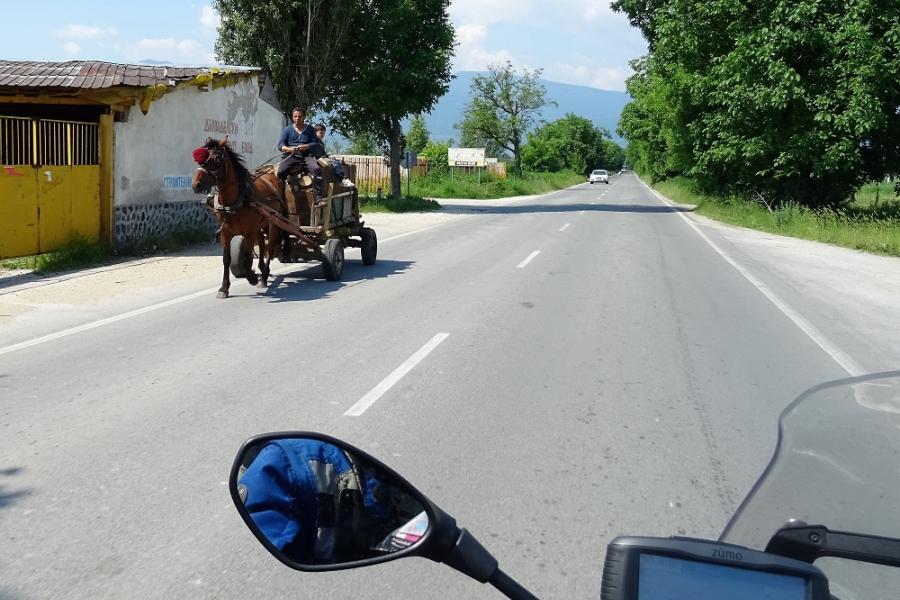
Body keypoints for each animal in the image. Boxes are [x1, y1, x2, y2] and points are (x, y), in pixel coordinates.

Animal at [191, 139, 284, 300]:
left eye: (216, 159)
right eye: (199, 160)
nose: (196, 185)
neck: (235, 199)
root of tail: (271, 174)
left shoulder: (249, 232)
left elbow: (246, 258)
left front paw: (252, 277)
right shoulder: (225, 233)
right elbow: (226, 259)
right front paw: (224, 288)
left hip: (272, 221)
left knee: (270, 246)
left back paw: (264, 276)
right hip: (259, 224)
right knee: (262, 243)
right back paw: (261, 270)